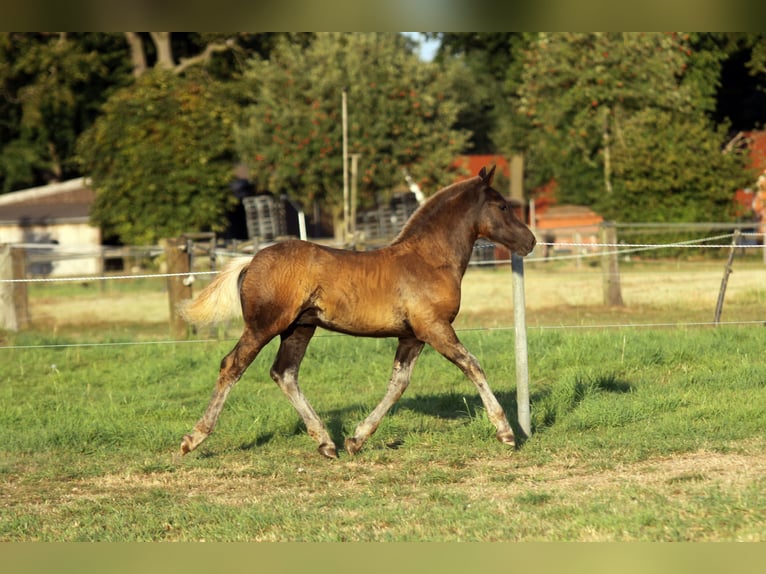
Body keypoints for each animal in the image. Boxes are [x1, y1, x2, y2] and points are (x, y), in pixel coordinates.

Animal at [179, 166, 536, 459]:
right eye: (502, 206)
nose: (530, 241)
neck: (427, 260)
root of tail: (252, 259)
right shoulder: (435, 328)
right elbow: (472, 366)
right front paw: (506, 433)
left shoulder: (412, 336)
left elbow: (398, 384)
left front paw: (357, 439)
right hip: (263, 326)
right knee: (232, 365)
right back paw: (193, 438)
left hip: (299, 328)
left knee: (284, 373)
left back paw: (326, 442)